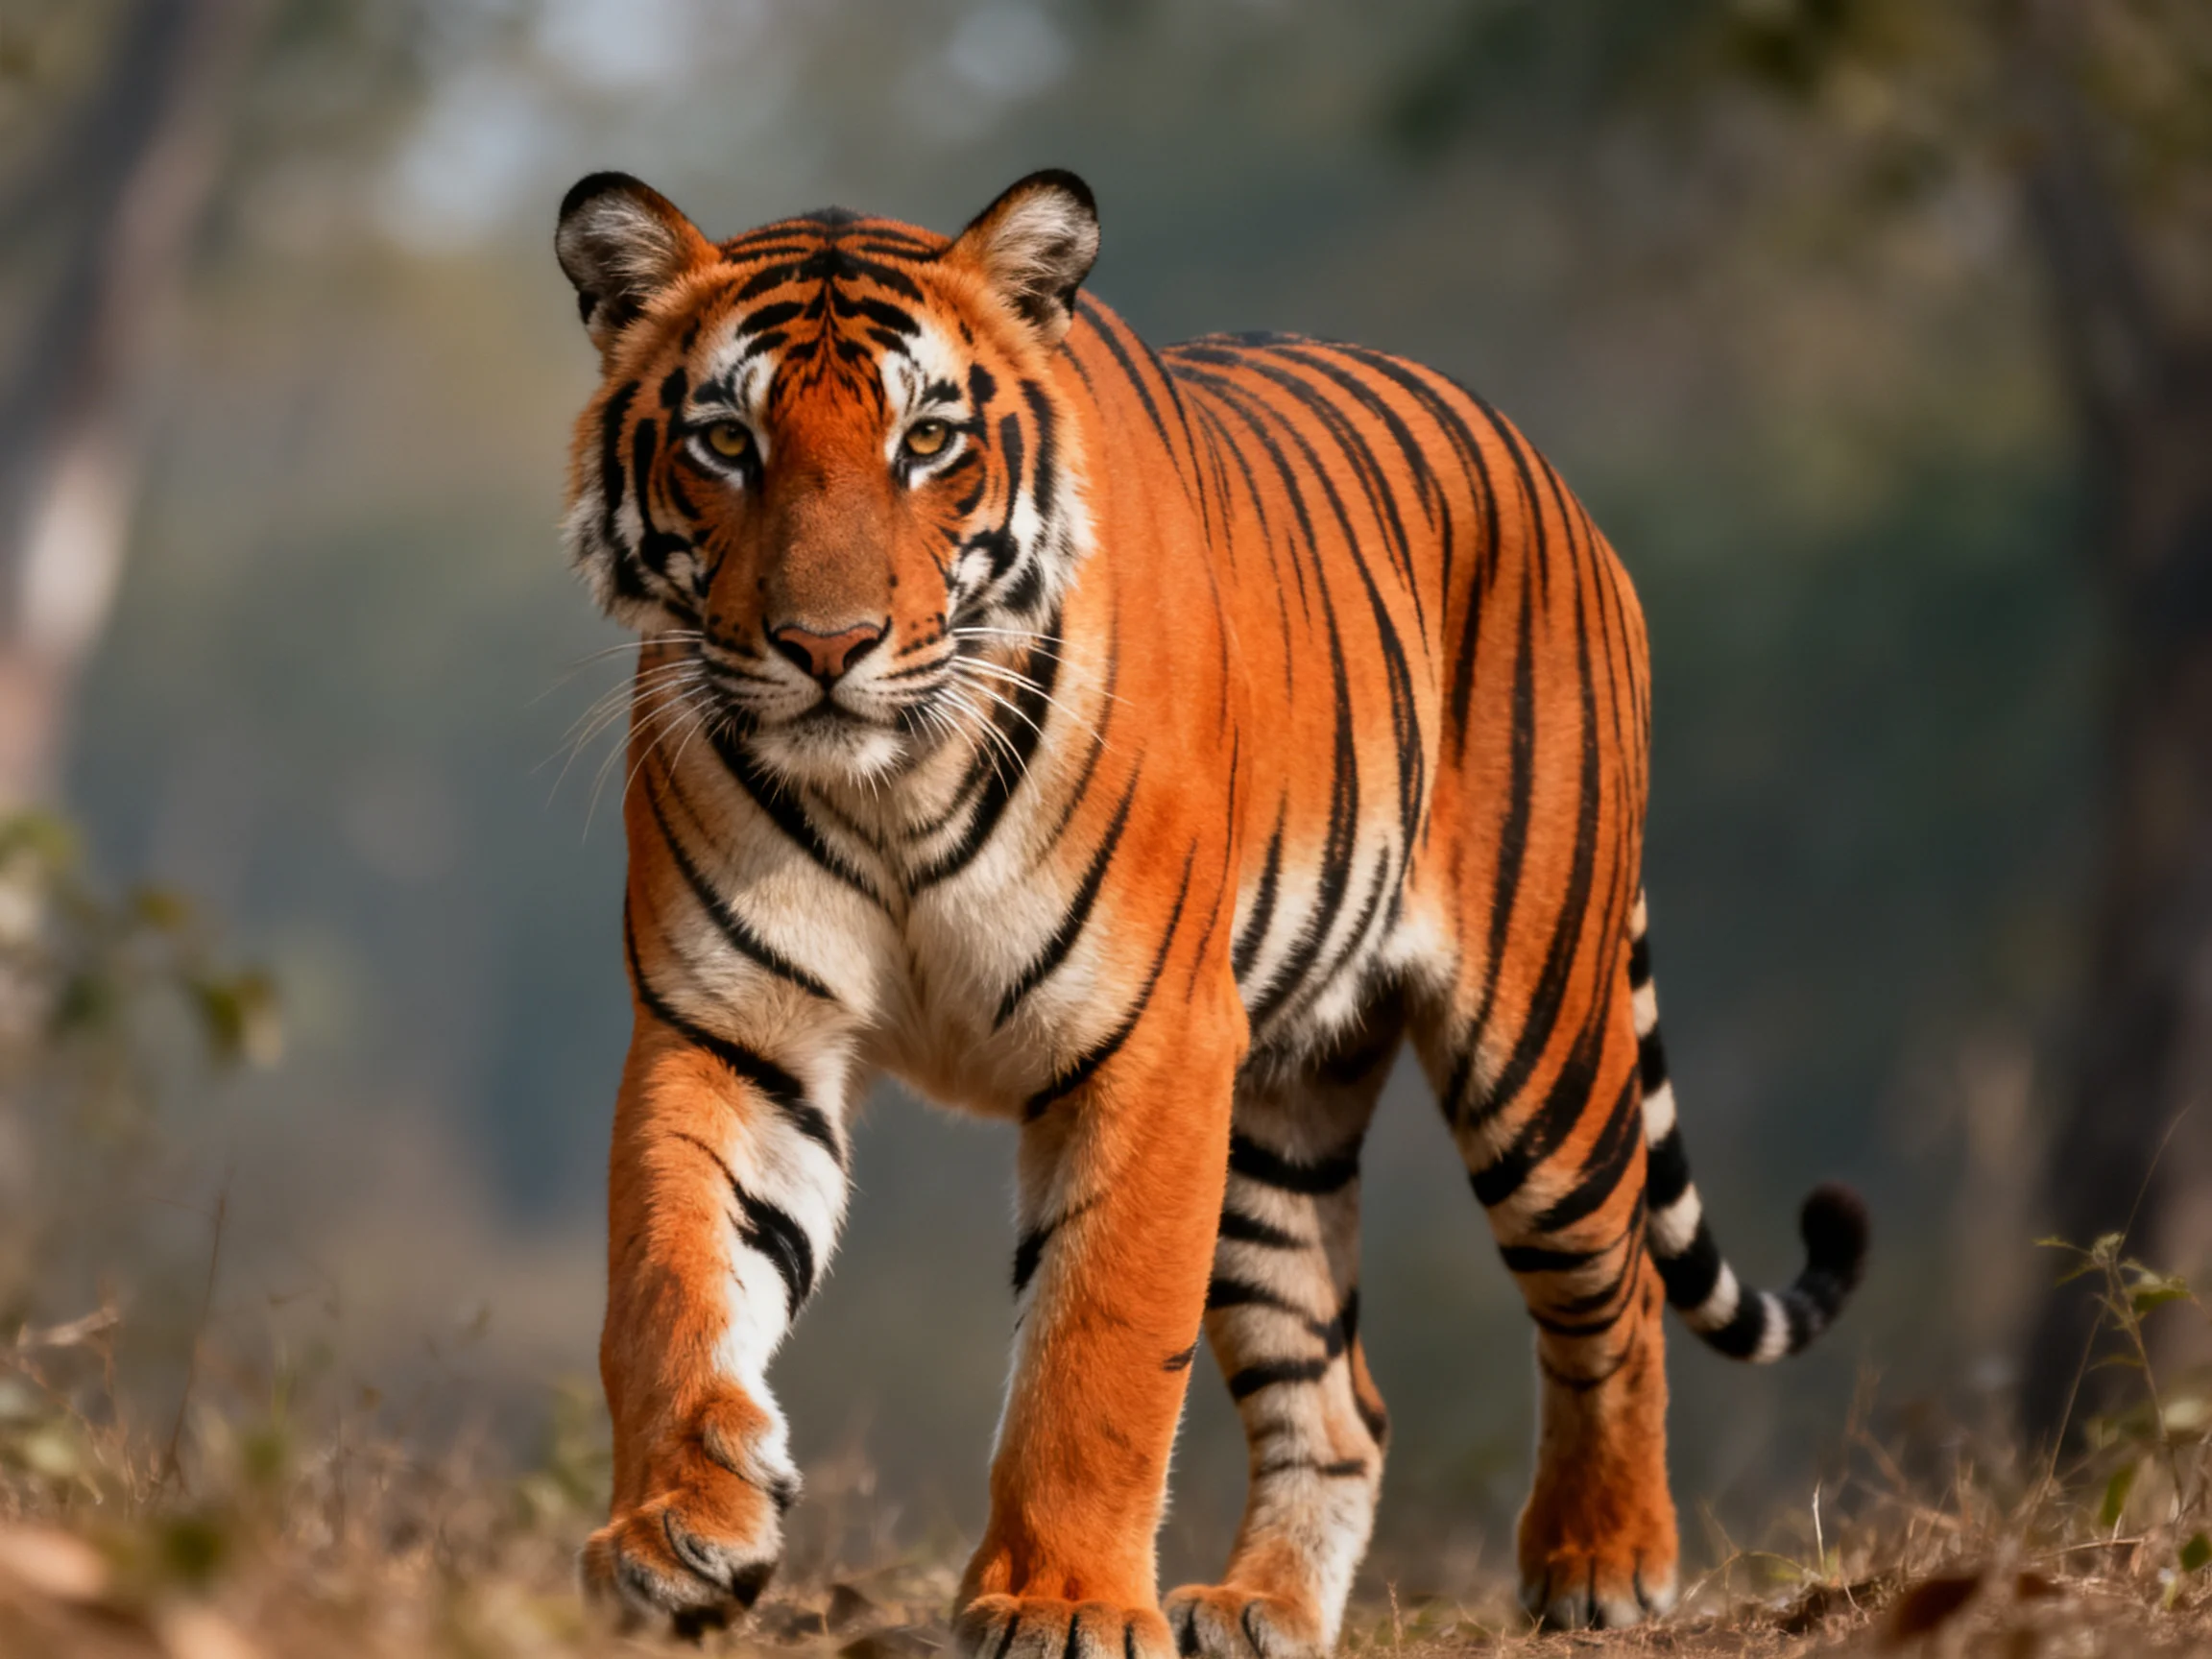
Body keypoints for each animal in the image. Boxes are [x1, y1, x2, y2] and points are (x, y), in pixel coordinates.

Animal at [554, 167, 1866, 1646]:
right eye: (726, 442)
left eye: (928, 441)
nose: (827, 648)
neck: (891, 783)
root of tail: (1547, 473)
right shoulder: (729, 1028)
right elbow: (668, 1280)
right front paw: (678, 1531)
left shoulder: (1147, 1041)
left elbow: (1101, 1350)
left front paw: (1059, 1605)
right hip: (1271, 1120)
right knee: (1343, 1400)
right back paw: (1259, 1605)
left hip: (1539, 1051)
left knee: (1618, 1287)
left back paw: (1604, 1562)